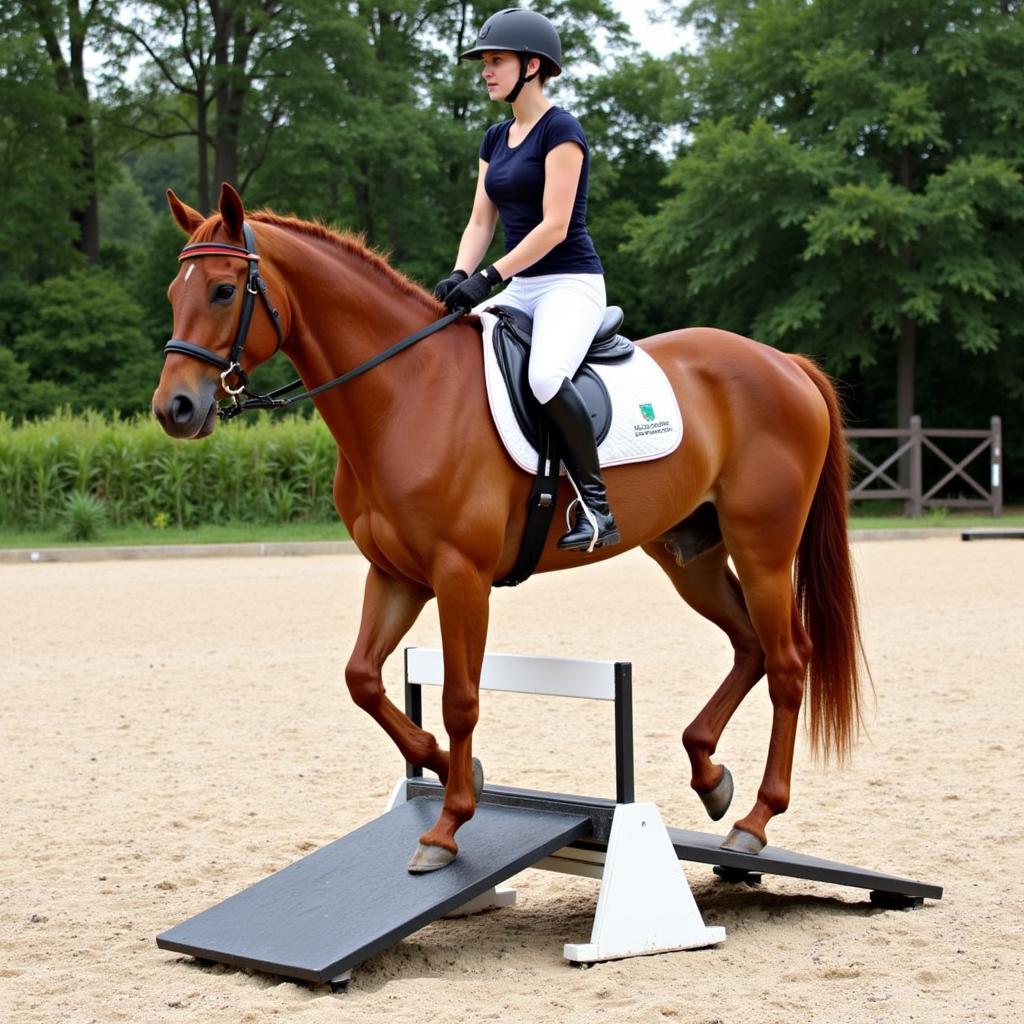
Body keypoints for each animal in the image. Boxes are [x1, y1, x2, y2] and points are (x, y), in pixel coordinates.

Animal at [153, 184, 864, 872]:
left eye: (222, 291)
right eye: (172, 295)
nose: (174, 409)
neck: (403, 394)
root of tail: (785, 363)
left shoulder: (459, 575)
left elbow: (460, 698)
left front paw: (446, 827)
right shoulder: (396, 575)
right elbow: (363, 678)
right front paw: (447, 767)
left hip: (763, 549)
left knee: (787, 661)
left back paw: (756, 822)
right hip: (691, 556)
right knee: (748, 646)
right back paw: (710, 776)